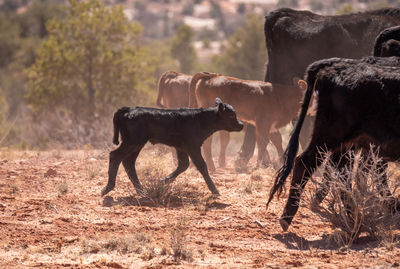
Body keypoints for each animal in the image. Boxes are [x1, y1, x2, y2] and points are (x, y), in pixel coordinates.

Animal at [100, 98, 244, 197]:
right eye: (231, 115)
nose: (241, 125)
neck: (200, 119)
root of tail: (129, 109)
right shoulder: (193, 146)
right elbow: (201, 165)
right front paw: (215, 190)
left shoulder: (181, 147)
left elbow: (183, 165)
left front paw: (162, 181)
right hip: (132, 142)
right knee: (115, 156)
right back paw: (108, 188)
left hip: (136, 144)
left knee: (128, 162)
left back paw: (141, 190)